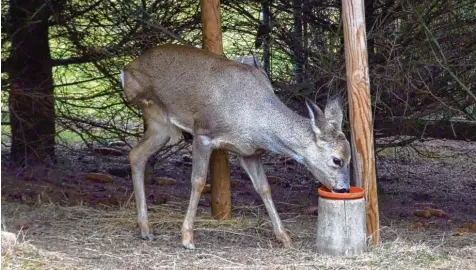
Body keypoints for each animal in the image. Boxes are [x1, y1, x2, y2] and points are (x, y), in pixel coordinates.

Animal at [121, 43, 352, 249]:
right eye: (337, 160)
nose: (344, 189)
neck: (252, 115)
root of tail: (127, 69)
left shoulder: (249, 152)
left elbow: (264, 187)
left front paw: (285, 238)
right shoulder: (203, 133)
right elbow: (198, 181)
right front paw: (187, 238)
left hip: (163, 128)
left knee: (136, 154)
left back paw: (146, 230)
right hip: (157, 112)